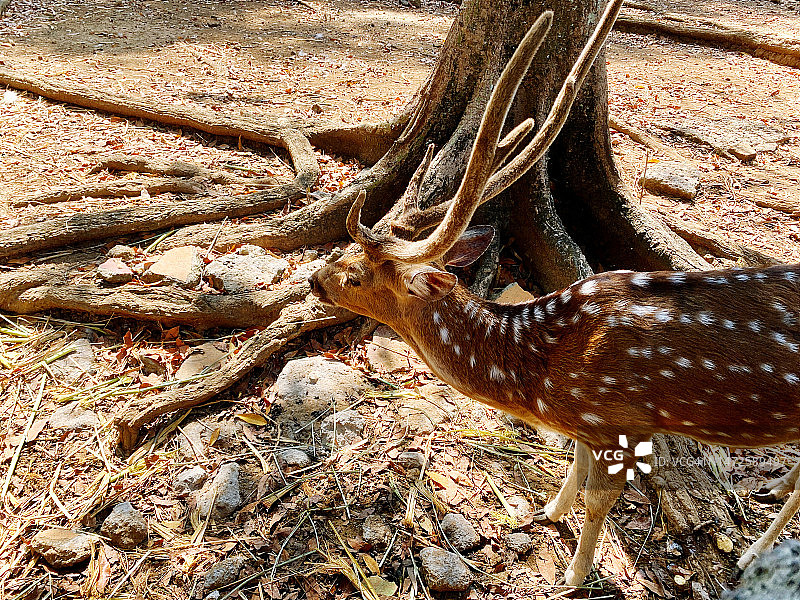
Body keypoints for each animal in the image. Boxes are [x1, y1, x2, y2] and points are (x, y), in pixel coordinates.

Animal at [309, 0, 800, 587]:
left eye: (356, 275)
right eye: (340, 255)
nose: (314, 278)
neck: (546, 380)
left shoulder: (617, 422)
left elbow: (598, 499)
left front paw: (573, 575)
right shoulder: (587, 426)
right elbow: (573, 468)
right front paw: (545, 512)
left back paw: (753, 553)